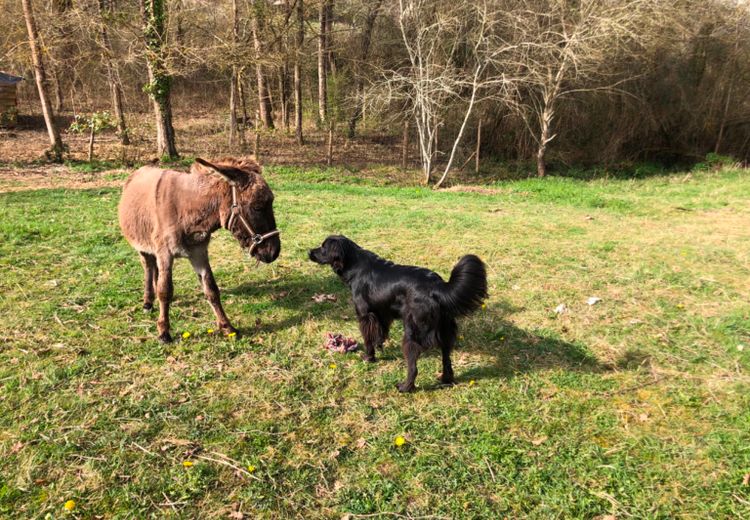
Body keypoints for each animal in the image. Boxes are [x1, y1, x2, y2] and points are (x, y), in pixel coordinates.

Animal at [310, 235, 490, 390]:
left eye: (323, 247)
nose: (309, 252)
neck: (355, 264)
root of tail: (437, 287)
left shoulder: (365, 315)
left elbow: (368, 339)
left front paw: (369, 357)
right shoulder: (382, 313)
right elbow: (380, 333)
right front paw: (380, 347)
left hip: (412, 332)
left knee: (413, 366)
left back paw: (405, 387)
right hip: (445, 331)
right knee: (446, 359)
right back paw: (446, 380)